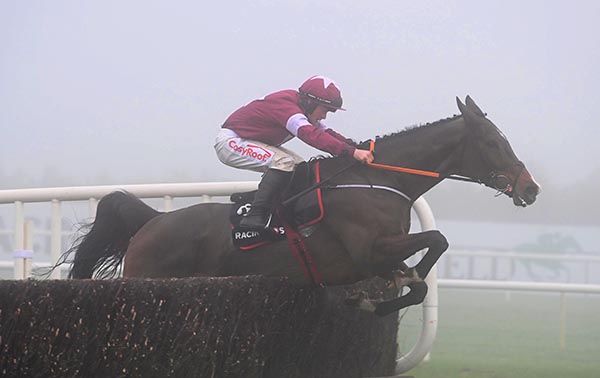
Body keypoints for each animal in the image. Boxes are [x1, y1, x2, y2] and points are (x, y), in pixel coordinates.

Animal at [59, 96, 540, 316]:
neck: (380, 179)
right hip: (148, 280)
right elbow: (436, 240)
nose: (531, 188)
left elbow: (424, 268)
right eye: (494, 143)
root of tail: (152, 222)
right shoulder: (369, 249)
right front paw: (380, 298)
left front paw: (397, 284)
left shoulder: (382, 251)